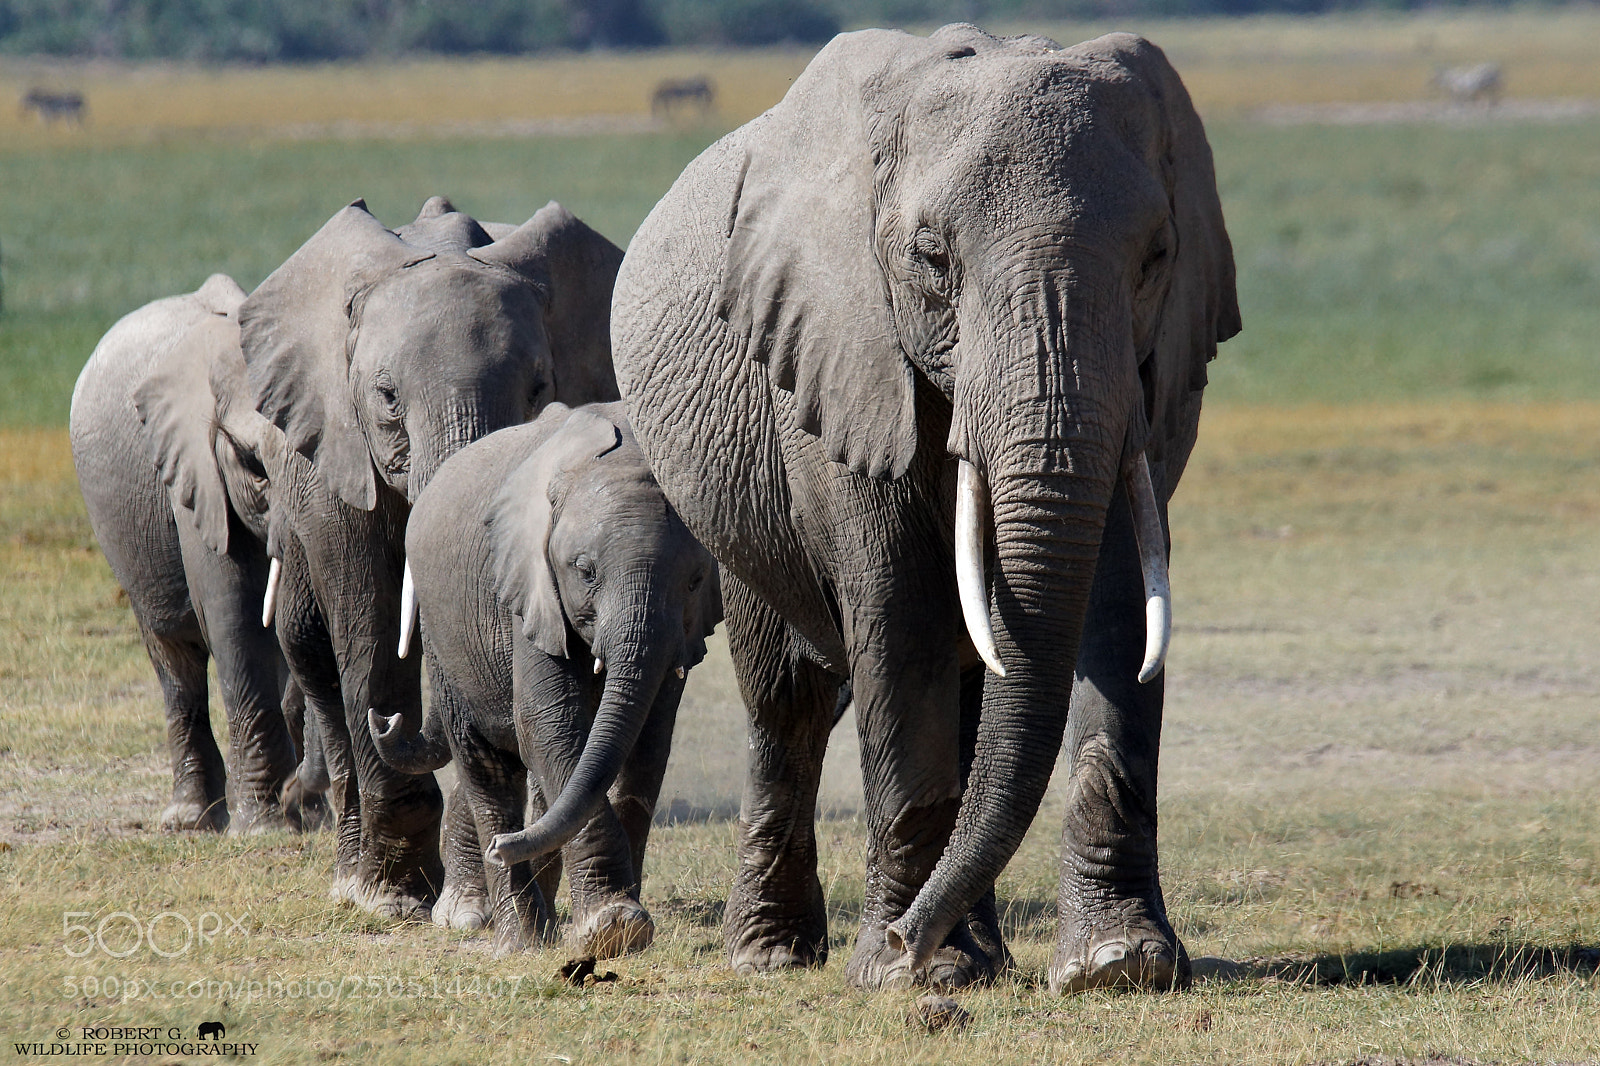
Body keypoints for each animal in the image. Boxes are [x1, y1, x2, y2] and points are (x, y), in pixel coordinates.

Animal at [70, 274, 313, 833]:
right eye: (253, 466)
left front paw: (307, 815)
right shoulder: (193, 475)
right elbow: (234, 616)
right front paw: (265, 827)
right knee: (174, 658)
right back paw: (190, 820)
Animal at [236, 195, 625, 919]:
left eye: (539, 388)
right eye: (387, 398)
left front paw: (466, 910)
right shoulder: (339, 452)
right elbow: (369, 627)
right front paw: (392, 901)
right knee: (309, 646)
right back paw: (353, 880)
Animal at [368, 402, 720, 957]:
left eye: (695, 581)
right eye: (585, 571)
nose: (501, 849)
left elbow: (645, 744)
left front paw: (614, 926)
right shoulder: (528, 586)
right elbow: (548, 726)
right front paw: (613, 926)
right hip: (445, 635)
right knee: (487, 767)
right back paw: (521, 939)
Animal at [611, 26, 1239, 992]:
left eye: (1157, 257)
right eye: (932, 257)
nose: (909, 939)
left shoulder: (1156, 381)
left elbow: (1119, 606)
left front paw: (1116, 965)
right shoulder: (838, 357)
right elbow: (897, 618)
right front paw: (910, 972)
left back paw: (975, 951)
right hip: (737, 500)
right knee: (783, 702)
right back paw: (778, 955)